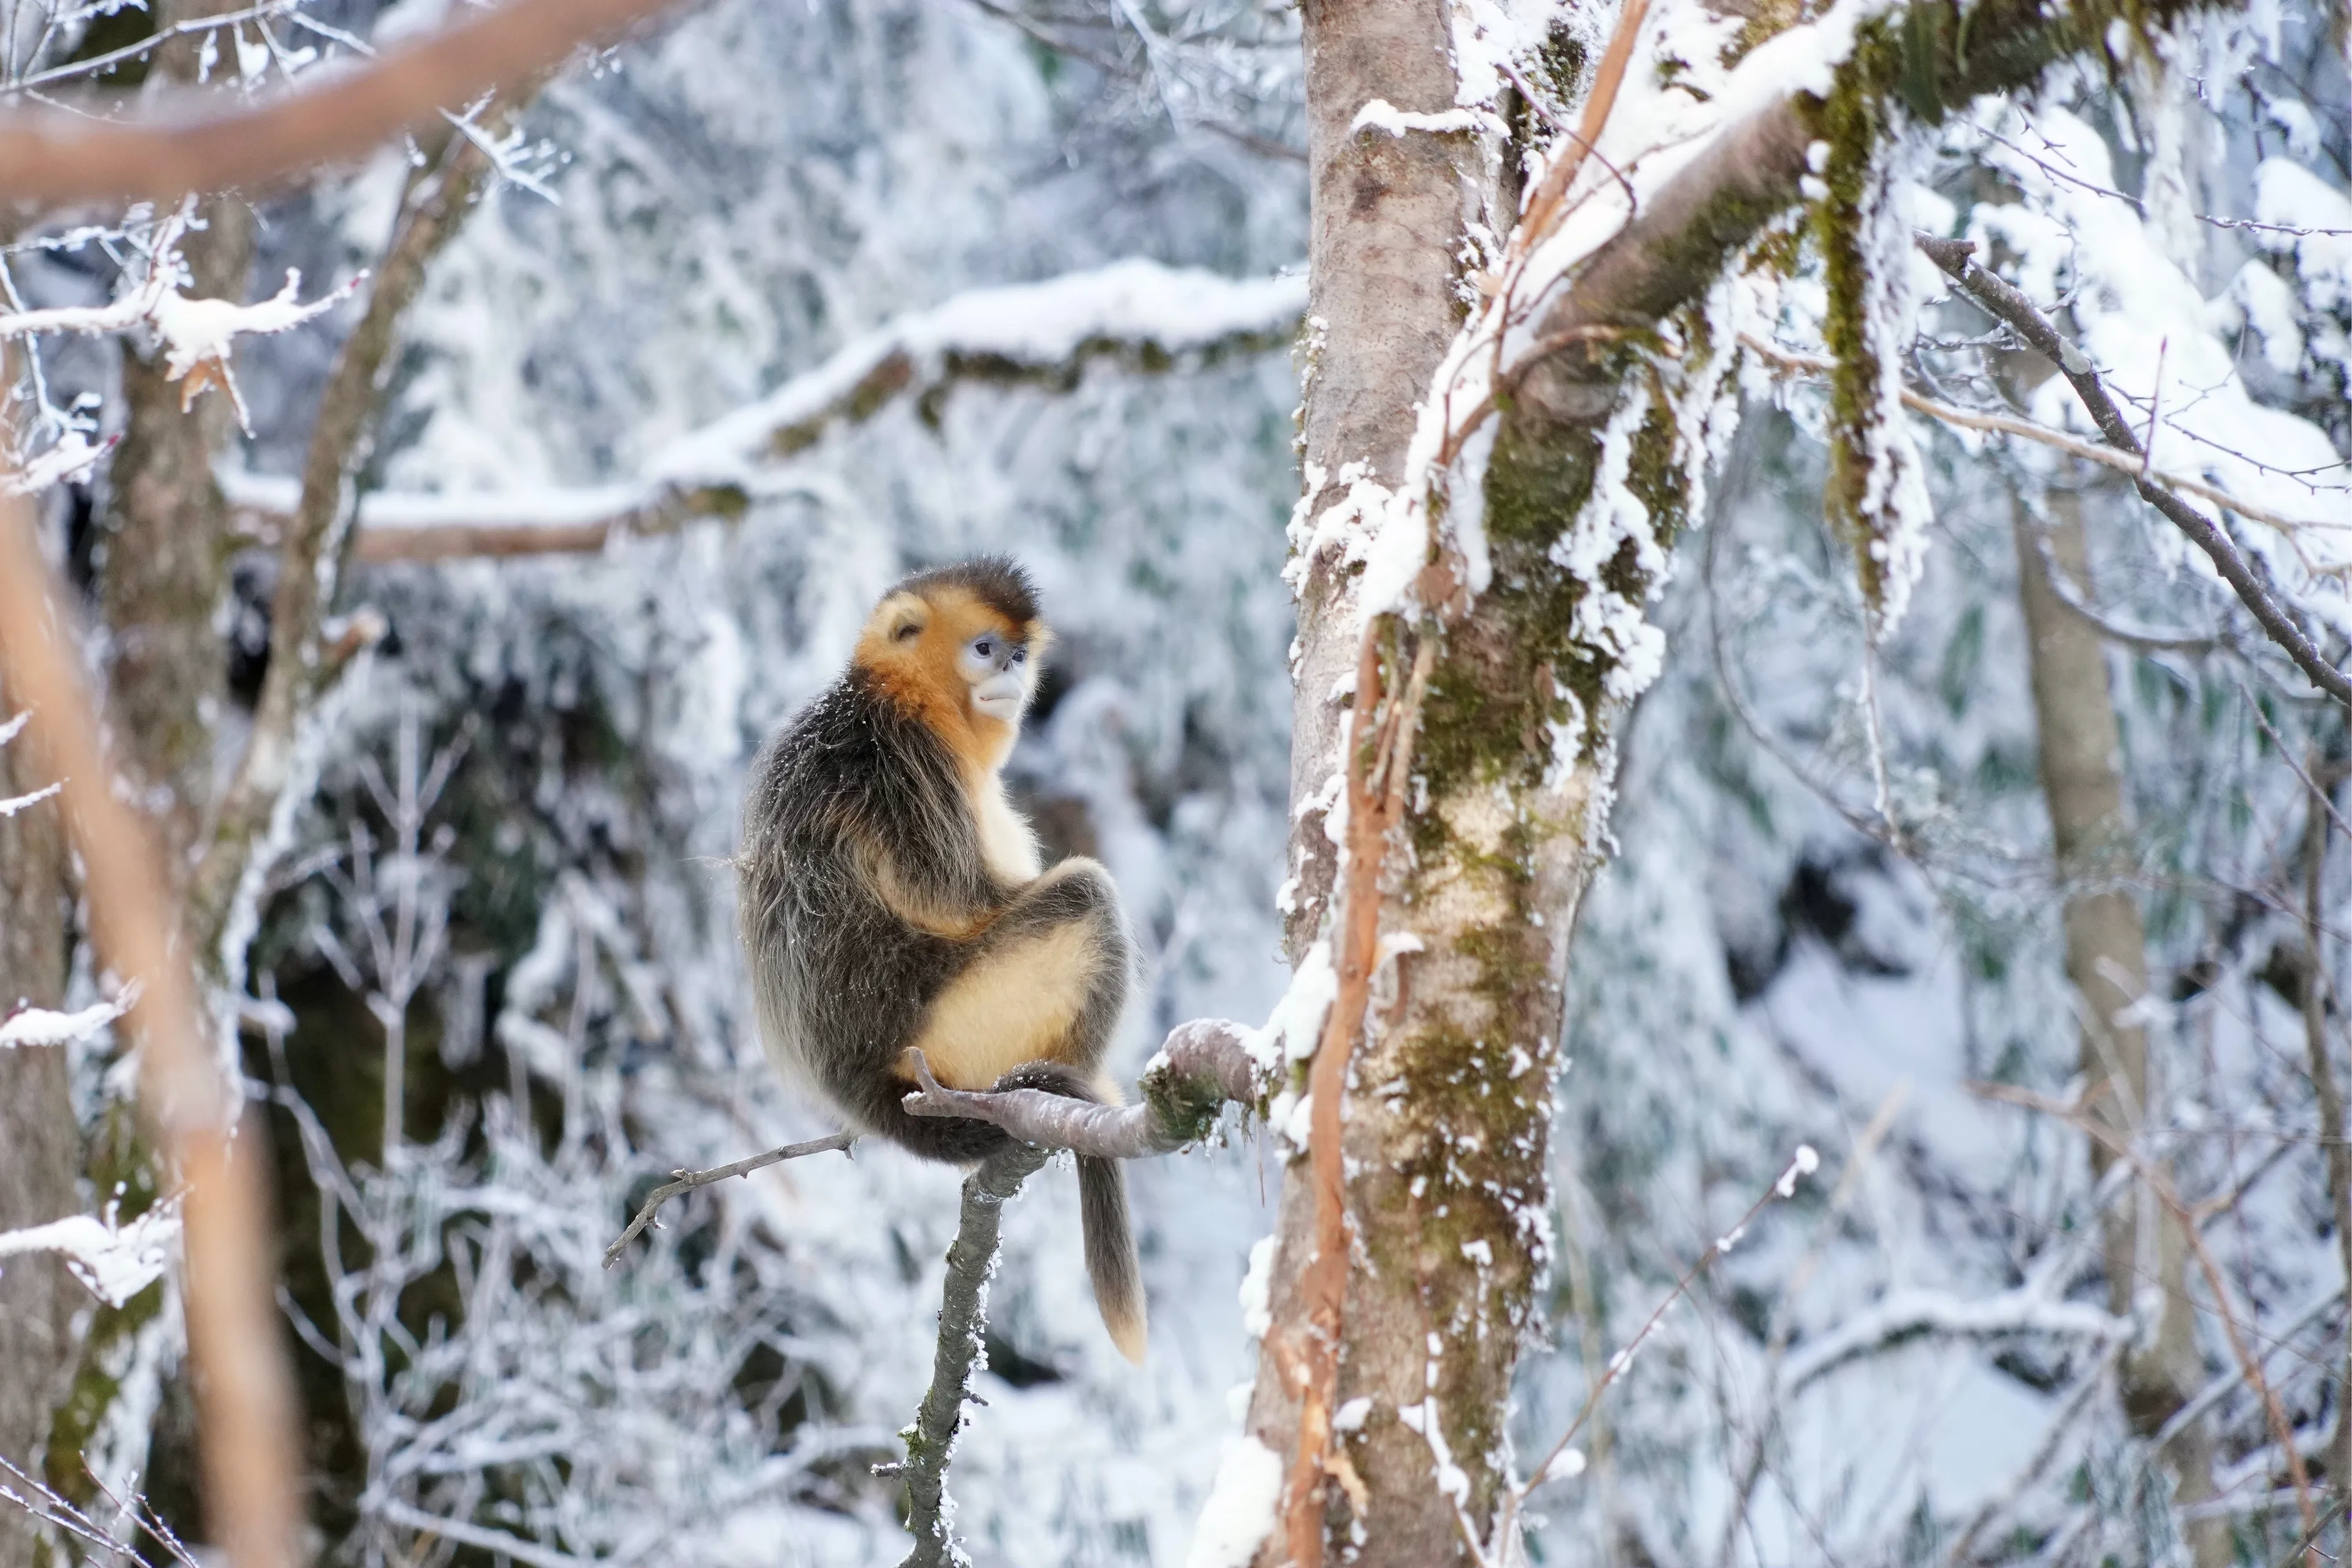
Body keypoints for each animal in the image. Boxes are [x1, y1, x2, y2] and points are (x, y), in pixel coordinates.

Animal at [737, 556, 1146, 1362]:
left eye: (1019, 652)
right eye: (986, 649)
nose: (1013, 672)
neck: (902, 697)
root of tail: (861, 1086)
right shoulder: (897, 763)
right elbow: (965, 899)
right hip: (954, 1025)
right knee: (1087, 892)